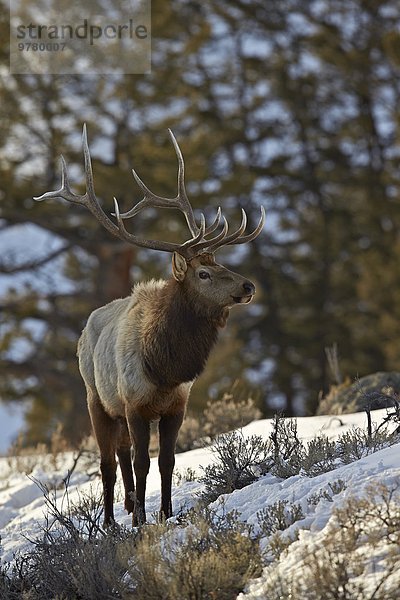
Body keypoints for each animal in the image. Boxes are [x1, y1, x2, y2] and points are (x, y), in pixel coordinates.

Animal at [35, 126, 266, 524]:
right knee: (109, 462)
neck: (164, 367)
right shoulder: (135, 403)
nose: (248, 286)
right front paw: (142, 520)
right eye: (203, 273)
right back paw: (112, 520)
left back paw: (129, 504)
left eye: (221, 263)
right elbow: (143, 461)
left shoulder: (176, 406)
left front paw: (163, 513)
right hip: (96, 398)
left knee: (122, 452)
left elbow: (167, 461)